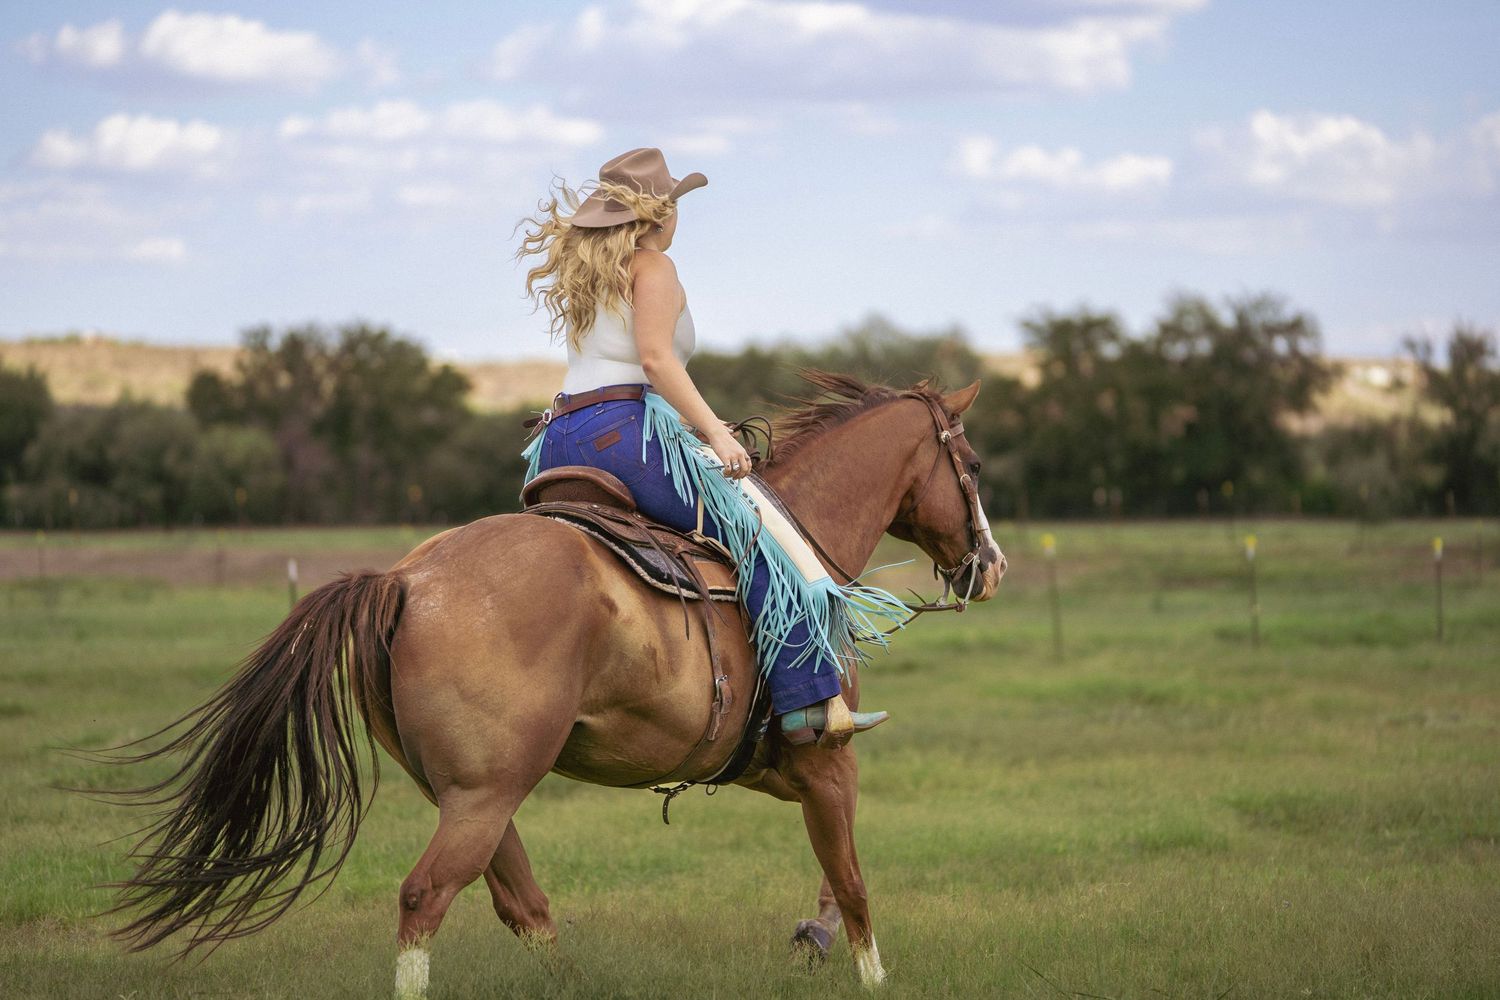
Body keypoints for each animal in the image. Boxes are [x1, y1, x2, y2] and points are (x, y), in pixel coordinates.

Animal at [101, 370, 1007, 995]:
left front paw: (810, 941)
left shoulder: (772, 766)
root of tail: (405, 581)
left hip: (476, 794)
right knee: (426, 899)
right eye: (970, 461)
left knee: (522, 908)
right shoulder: (825, 759)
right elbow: (851, 880)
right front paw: (868, 973)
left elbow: (831, 875)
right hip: (483, 797)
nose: (990, 565)